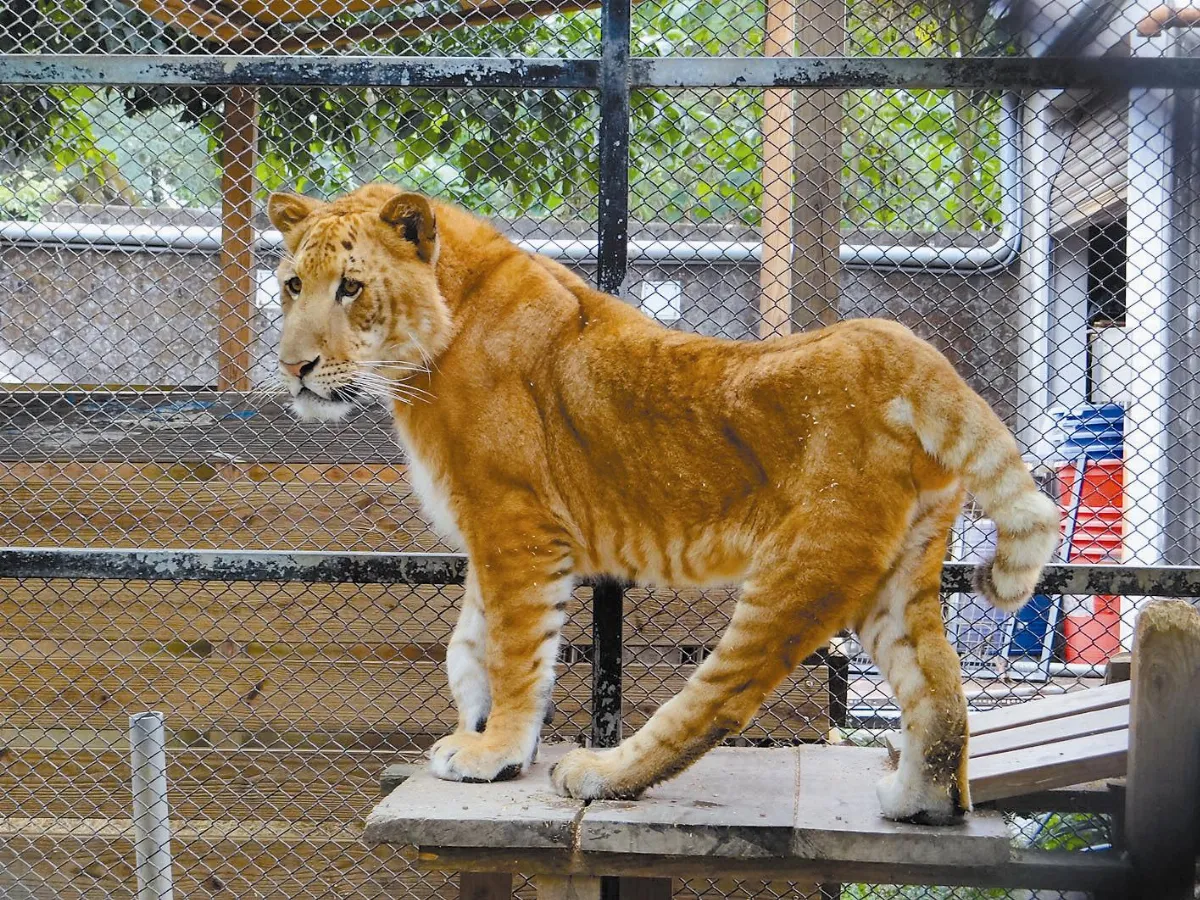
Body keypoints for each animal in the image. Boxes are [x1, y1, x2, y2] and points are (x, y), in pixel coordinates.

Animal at [266, 183, 1059, 825]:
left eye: (350, 289)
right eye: (293, 285)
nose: (294, 366)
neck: (433, 340)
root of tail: (909, 350)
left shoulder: (515, 524)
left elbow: (514, 648)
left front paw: (497, 750)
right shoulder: (493, 529)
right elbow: (469, 639)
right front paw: (475, 720)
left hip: (804, 566)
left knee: (722, 698)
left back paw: (600, 774)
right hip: (894, 572)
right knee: (939, 688)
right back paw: (918, 803)